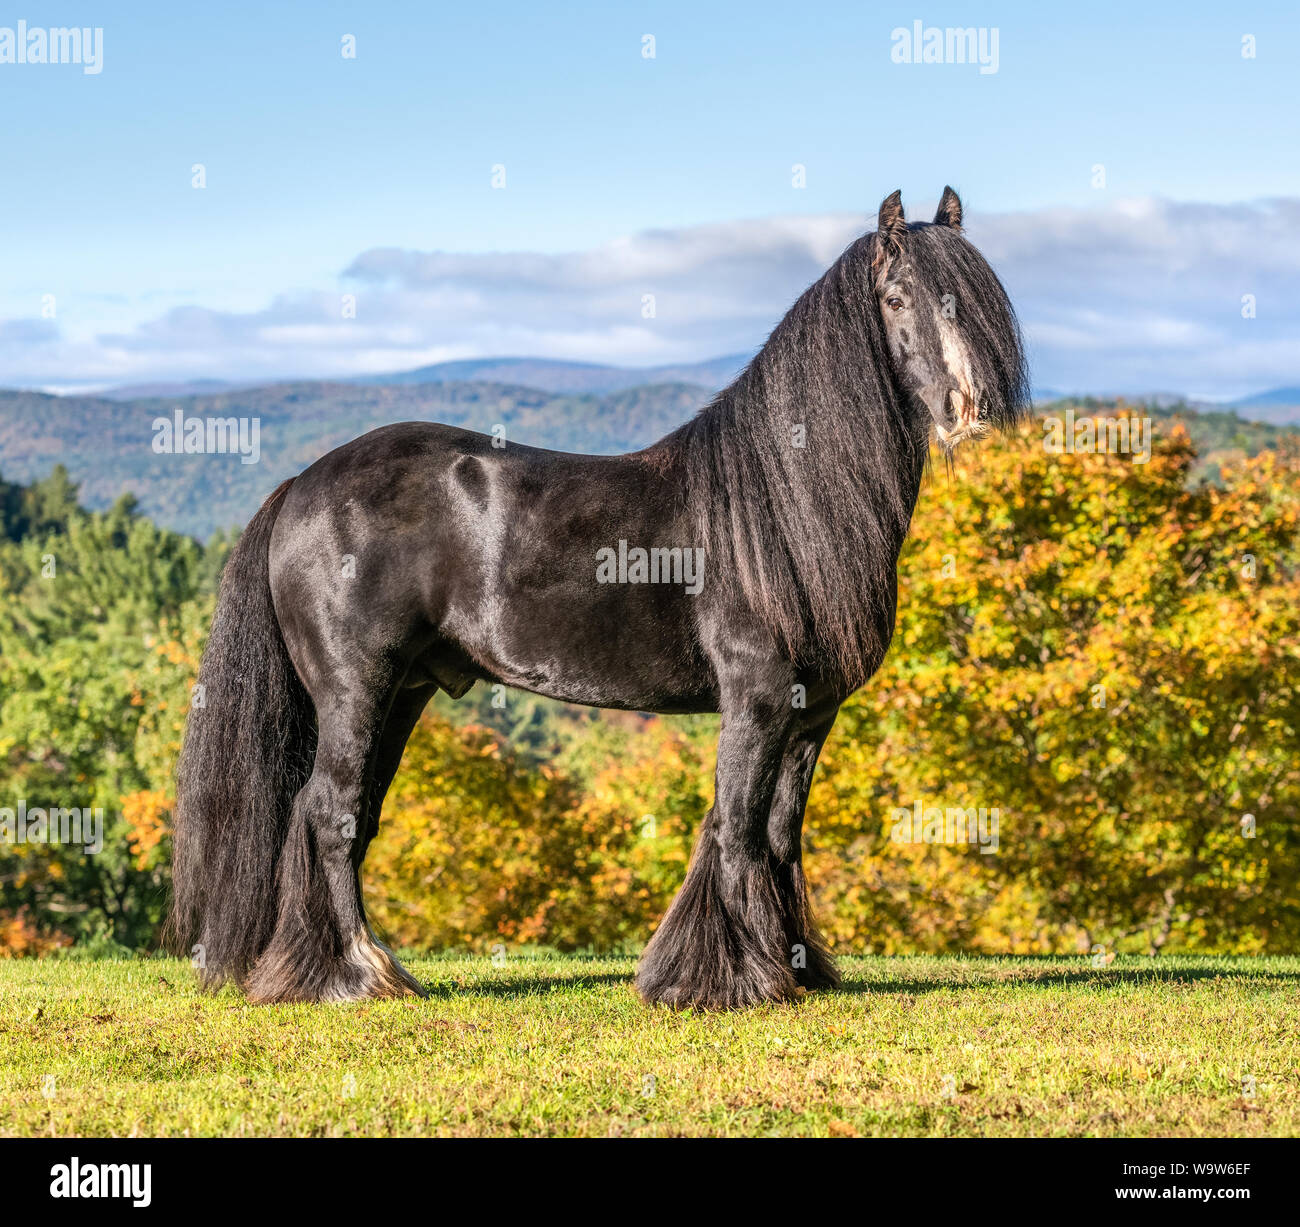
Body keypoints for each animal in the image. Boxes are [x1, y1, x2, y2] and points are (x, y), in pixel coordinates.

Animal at [170, 184, 1024, 1008]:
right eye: (895, 297)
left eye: (976, 297)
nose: (968, 408)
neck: (780, 504)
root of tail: (299, 484)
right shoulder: (756, 699)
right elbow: (736, 826)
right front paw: (722, 980)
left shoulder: (812, 713)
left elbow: (780, 832)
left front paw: (793, 965)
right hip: (356, 689)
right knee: (328, 813)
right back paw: (355, 975)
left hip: (401, 693)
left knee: (350, 816)